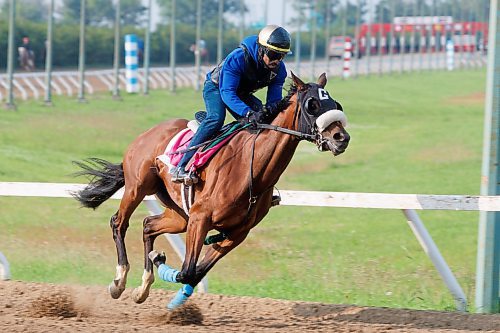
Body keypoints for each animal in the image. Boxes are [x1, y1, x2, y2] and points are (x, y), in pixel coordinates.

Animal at [73, 72, 348, 308]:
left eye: (335, 103)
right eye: (312, 104)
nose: (341, 138)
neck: (251, 169)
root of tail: (147, 134)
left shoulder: (237, 232)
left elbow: (196, 272)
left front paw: (173, 293)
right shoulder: (201, 218)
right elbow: (187, 271)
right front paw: (159, 261)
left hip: (179, 214)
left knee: (149, 225)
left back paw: (143, 287)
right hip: (138, 187)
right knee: (119, 222)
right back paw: (119, 281)